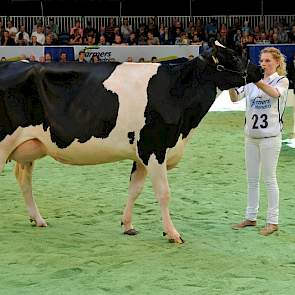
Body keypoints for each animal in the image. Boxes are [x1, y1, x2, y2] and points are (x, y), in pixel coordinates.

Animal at [0, 42, 264, 245]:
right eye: (234, 57)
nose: (260, 69)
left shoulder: (141, 154)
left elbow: (134, 189)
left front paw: (127, 225)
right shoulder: (154, 148)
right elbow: (164, 193)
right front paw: (173, 233)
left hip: (29, 148)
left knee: (24, 181)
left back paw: (38, 219)